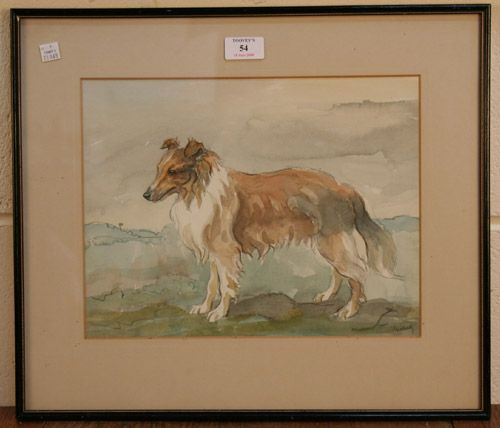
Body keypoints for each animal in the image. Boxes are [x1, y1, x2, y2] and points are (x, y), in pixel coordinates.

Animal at [143, 137, 397, 322]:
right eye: (158, 169)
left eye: (173, 171)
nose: (146, 195)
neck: (198, 190)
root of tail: (345, 188)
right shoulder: (214, 251)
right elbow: (212, 284)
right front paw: (204, 307)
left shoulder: (225, 251)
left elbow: (225, 285)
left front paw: (219, 313)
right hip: (324, 241)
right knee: (340, 271)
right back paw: (327, 296)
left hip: (332, 240)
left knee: (356, 274)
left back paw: (349, 310)